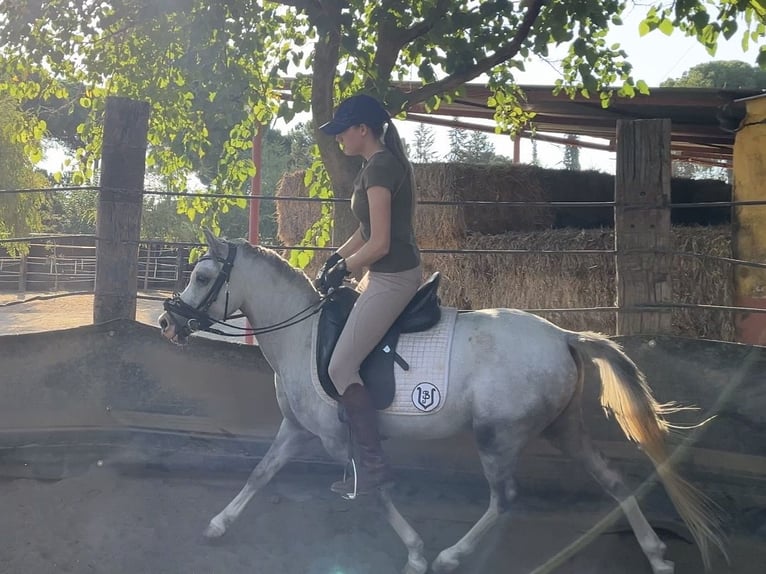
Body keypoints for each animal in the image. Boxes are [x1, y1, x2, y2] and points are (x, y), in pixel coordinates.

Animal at [158, 229, 724, 574]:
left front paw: (414, 553)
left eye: (203, 277)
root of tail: (564, 335)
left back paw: (453, 556)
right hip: (563, 428)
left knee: (505, 498)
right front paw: (218, 525)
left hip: (498, 436)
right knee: (611, 481)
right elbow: (260, 473)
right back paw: (657, 555)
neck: (303, 335)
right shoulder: (298, 429)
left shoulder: (337, 436)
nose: (167, 322)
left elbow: (377, 492)